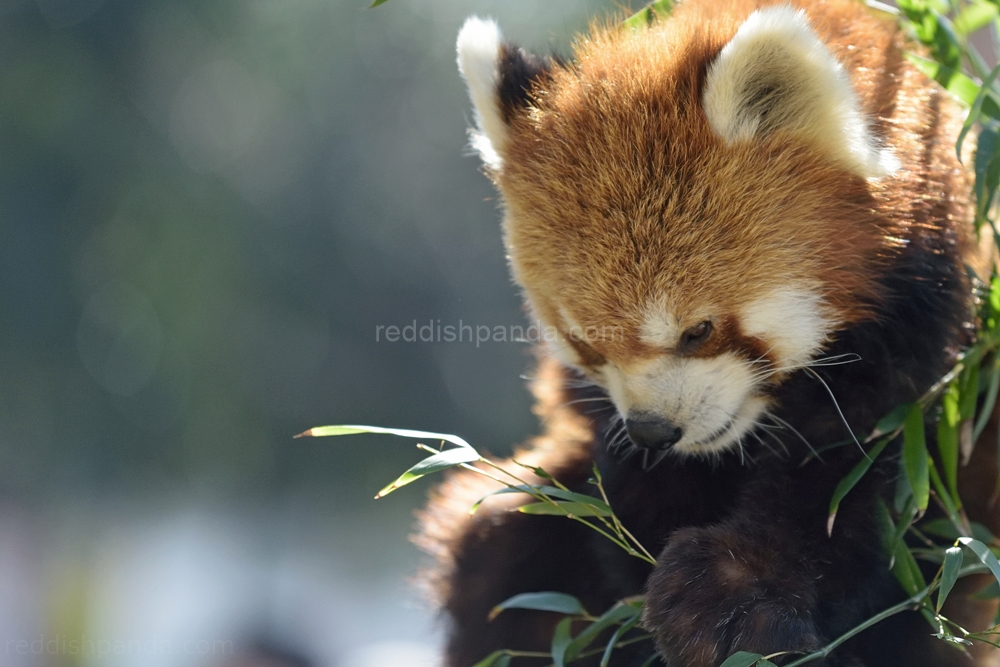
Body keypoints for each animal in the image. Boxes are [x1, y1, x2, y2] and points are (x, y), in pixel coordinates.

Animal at [416, 1, 1000, 667]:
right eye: (586, 344)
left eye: (698, 331)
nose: (653, 430)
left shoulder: (927, 357)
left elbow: (848, 485)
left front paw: (736, 598)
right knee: (499, 544)